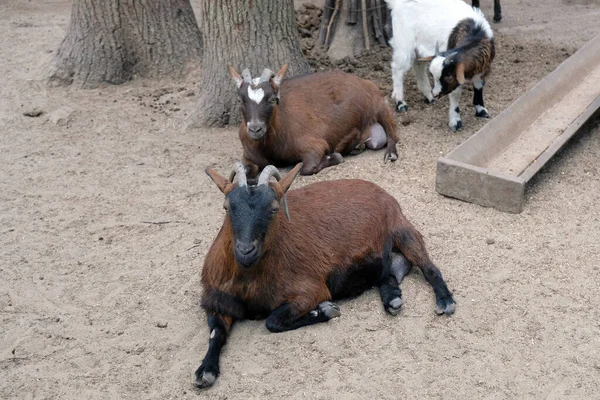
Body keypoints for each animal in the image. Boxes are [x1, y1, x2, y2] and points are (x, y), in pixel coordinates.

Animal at [195, 162, 458, 388]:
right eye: (227, 207)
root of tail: (381, 191)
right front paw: (205, 371)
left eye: (274, 209)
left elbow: (273, 321)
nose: (245, 250)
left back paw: (445, 301)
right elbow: (216, 332)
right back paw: (392, 298)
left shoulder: (310, 289)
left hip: (402, 229)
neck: (249, 281)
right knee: (387, 273)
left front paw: (324, 310)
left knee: (429, 268)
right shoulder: (217, 301)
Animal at [232, 65, 400, 177]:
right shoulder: (248, 155)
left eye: (272, 99)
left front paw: (334, 156)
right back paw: (356, 146)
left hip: (378, 104)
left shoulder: (313, 145)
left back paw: (390, 153)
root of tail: (362, 80)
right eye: (240, 100)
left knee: (392, 131)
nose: (255, 129)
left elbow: (306, 168)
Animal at [386, 0, 494, 131]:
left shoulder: (482, 69)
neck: (475, 33)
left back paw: (428, 96)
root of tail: (396, 3)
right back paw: (400, 102)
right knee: (398, 69)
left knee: (418, 65)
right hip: (403, 41)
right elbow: (455, 94)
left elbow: (479, 86)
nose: (436, 93)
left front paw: (481, 110)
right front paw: (455, 122)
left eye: (448, 77)